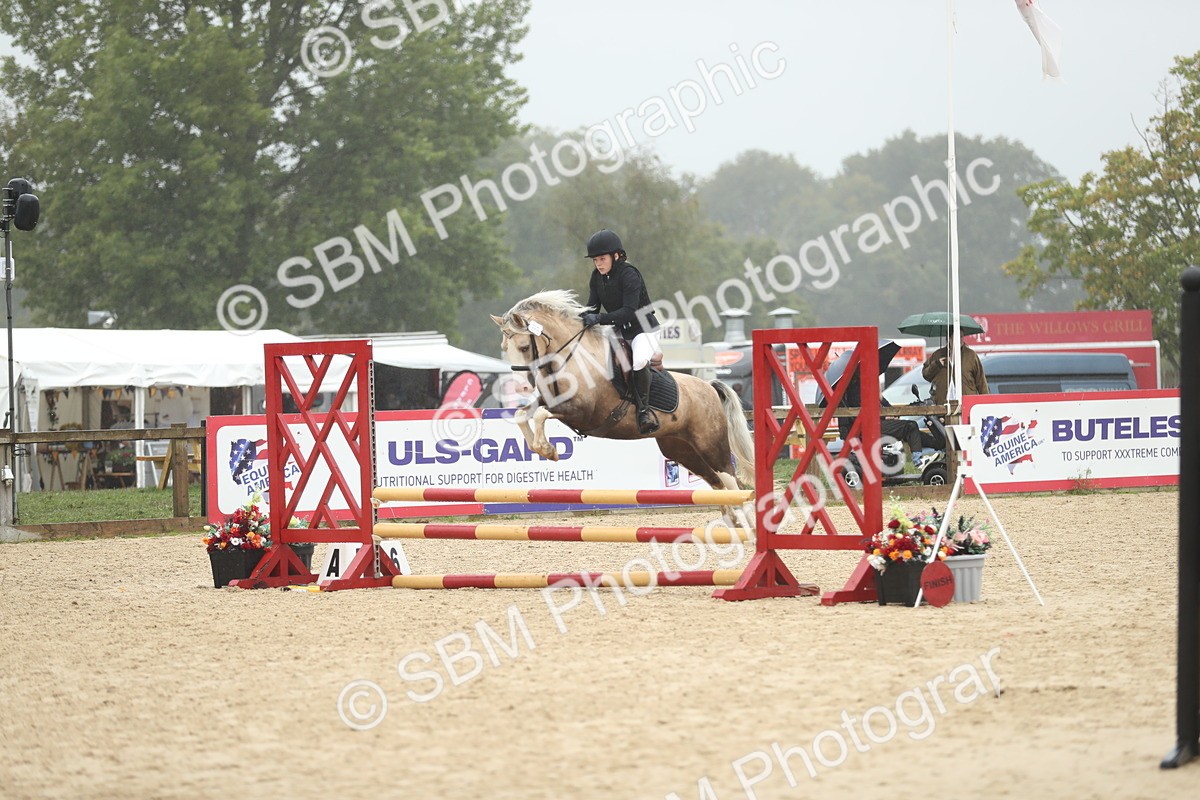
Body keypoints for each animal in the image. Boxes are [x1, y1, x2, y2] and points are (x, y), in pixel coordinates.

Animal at [490, 290, 755, 524]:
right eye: (504, 348)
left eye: (524, 347)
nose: (522, 387)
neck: (572, 357)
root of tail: (709, 387)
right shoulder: (554, 404)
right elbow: (523, 414)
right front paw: (543, 449)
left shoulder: (581, 412)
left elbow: (540, 415)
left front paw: (547, 449)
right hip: (682, 450)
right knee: (719, 485)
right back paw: (733, 524)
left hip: (711, 446)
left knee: (736, 484)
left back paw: (749, 530)